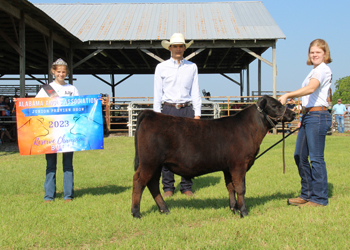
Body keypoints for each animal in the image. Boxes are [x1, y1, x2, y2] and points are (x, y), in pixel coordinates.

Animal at [131, 94, 296, 218]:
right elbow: (240, 188)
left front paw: (233, 209)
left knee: (152, 184)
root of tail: (150, 114)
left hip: (156, 164)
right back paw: (136, 213)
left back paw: (164, 209)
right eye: (274, 105)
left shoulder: (228, 167)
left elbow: (230, 187)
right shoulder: (239, 164)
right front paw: (243, 212)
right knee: (139, 181)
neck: (248, 128)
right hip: (149, 161)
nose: (293, 113)